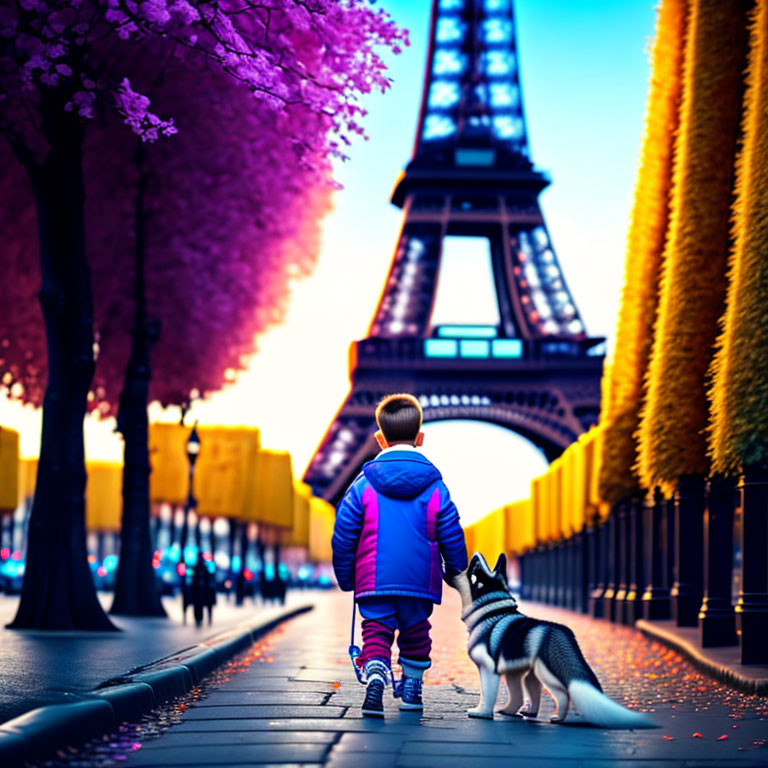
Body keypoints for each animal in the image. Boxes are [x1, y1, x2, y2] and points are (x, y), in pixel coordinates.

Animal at [452, 556, 656, 728]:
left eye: (472, 572)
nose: (474, 556)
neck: (489, 612)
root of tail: (562, 632)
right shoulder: (513, 671)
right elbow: (516, 694)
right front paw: (509, 711)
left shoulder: (488, 668)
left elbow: (486, 694)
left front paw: (482, 713)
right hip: (533, 672)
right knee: (534, 690)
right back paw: (531, 712)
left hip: (547, 672)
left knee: (563, 694)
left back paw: (558, 717)